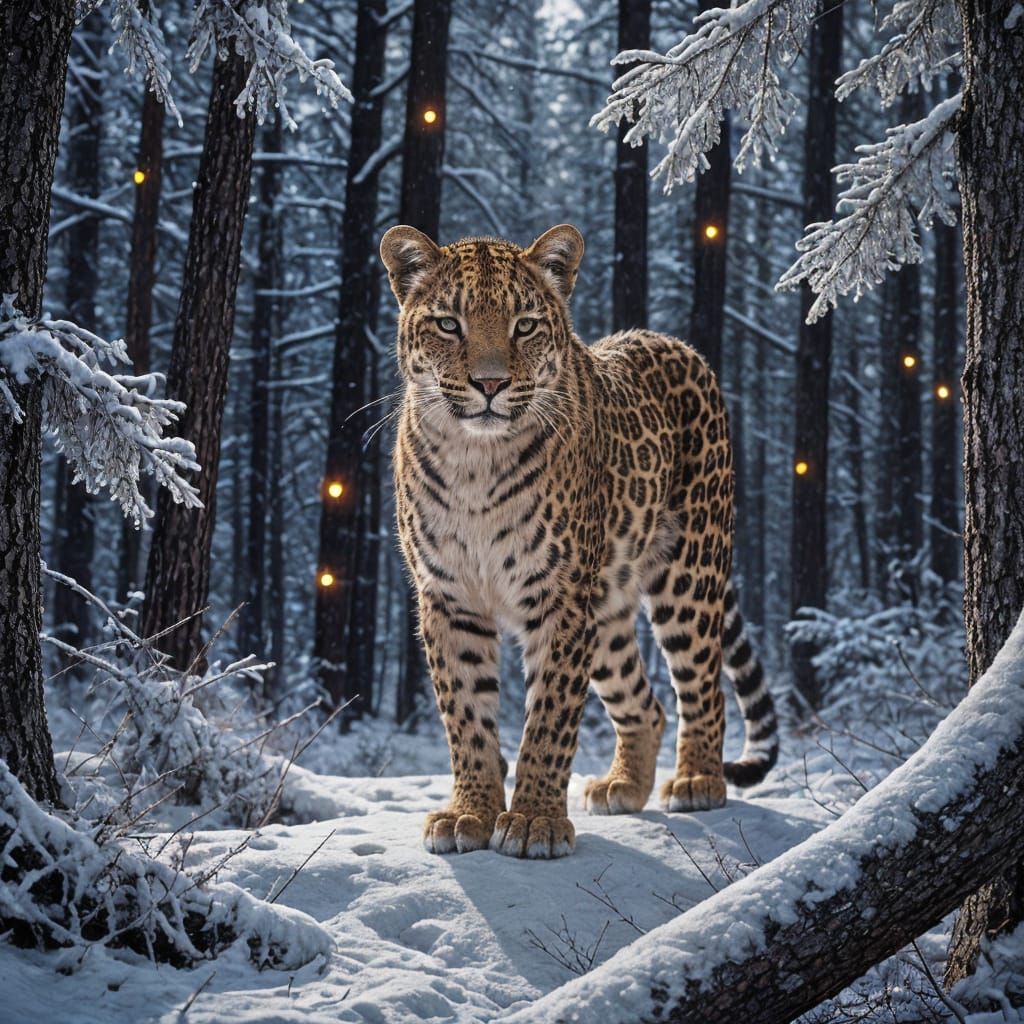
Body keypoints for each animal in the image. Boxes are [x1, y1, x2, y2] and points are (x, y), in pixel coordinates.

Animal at [380, 222, 778, 860]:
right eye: (448, 324)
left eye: (524, 325)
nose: (489, 384)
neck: (475, 462)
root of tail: (671, 340)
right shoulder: (448, 597)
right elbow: (465, 715)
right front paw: (471, 812)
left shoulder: (559, 596)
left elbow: (550, 717)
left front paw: (533, 820)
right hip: (608, 605)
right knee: (645, 703)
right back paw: (624, 786)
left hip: (689, 573)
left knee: (702, 684)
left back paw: (697, 779)